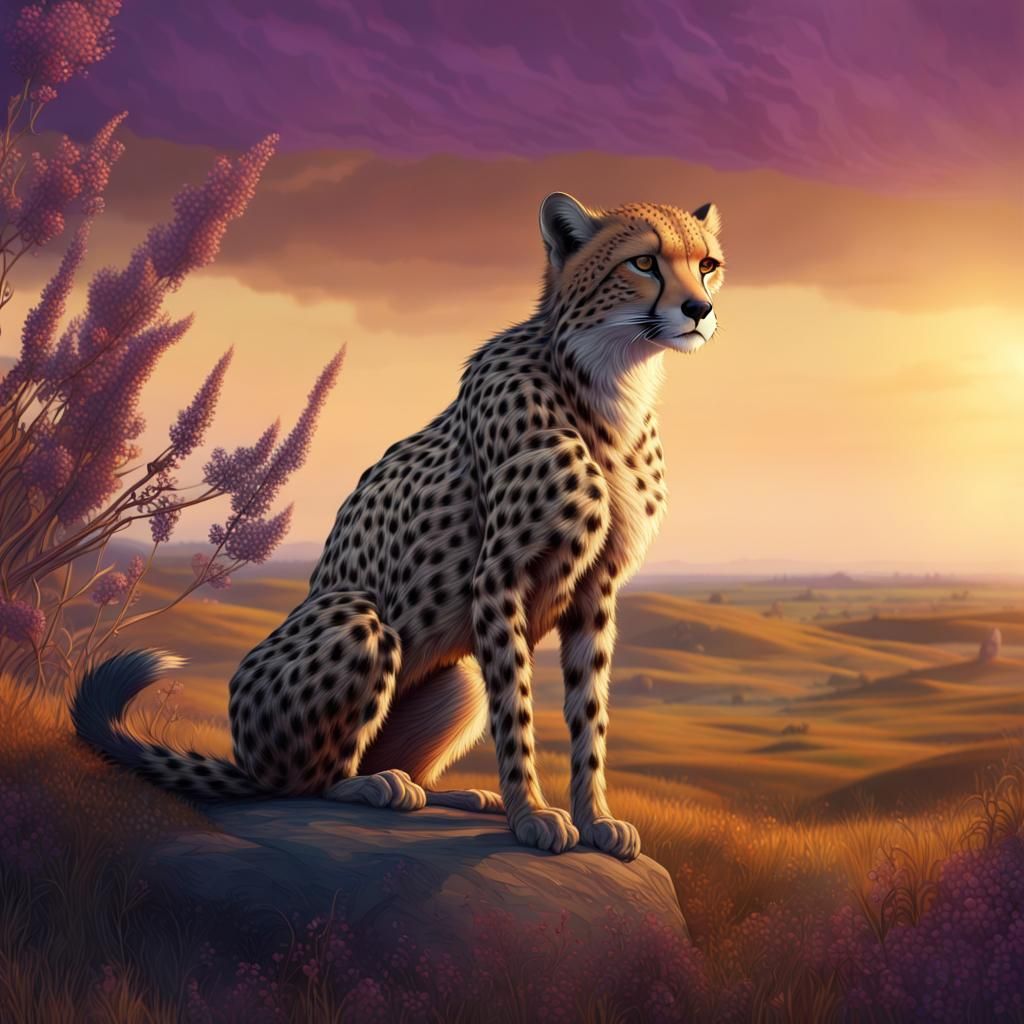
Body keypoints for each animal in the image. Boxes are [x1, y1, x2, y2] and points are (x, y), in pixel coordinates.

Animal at [71, 192, 726, 861]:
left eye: (707, 265)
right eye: (643, 262)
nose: (699, 310)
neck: (607, 384)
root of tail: (245, 760)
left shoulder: (597, 590)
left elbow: (588, 715)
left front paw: (596, 819)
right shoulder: (498, 580)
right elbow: (516, 712)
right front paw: (532, 816)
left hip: (460, 675)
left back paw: (453, 792)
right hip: (358, 619)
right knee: (309, 781)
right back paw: (375, 787)